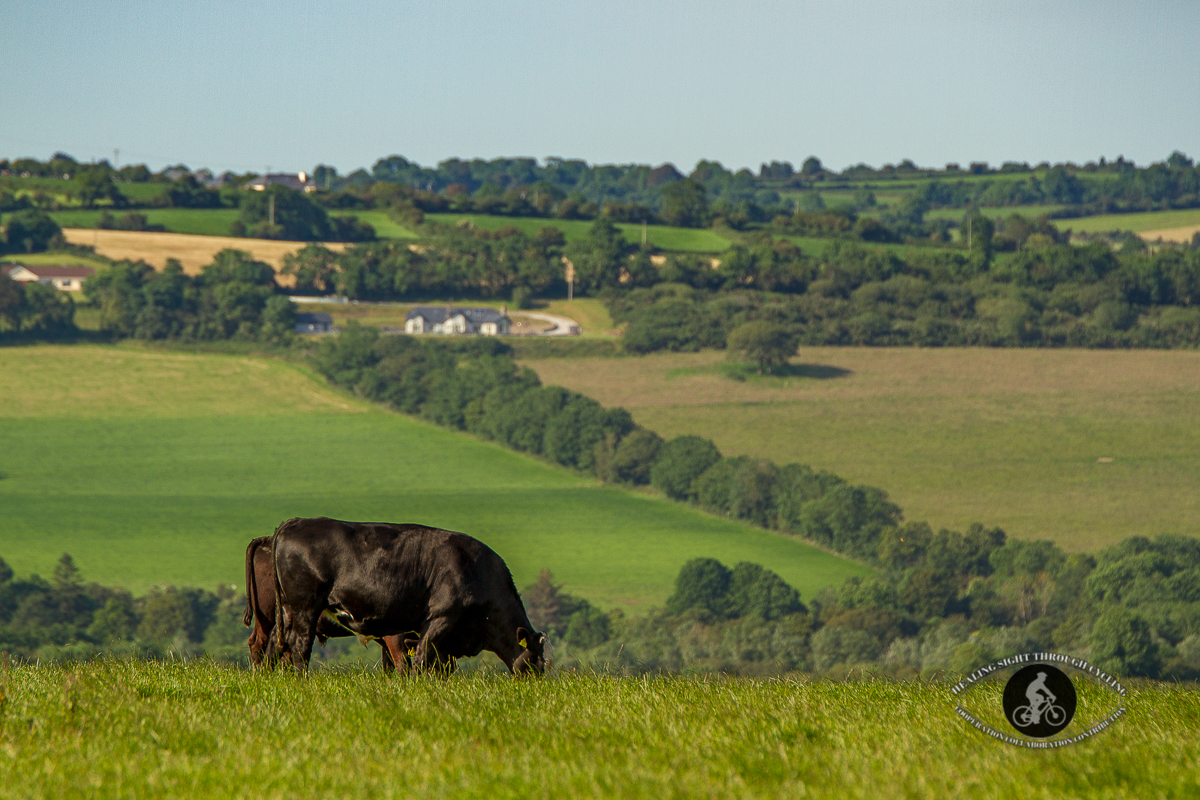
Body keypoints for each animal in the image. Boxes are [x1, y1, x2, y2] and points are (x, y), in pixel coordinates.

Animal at [270, 515, 547, 671]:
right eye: (535, 661)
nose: (537, 684)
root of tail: (295, 522)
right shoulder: (441, 618)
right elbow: (423, 657)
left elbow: (442, 667)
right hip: (305, 606)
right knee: (300, 646)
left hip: (287, 609)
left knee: (279, 644)